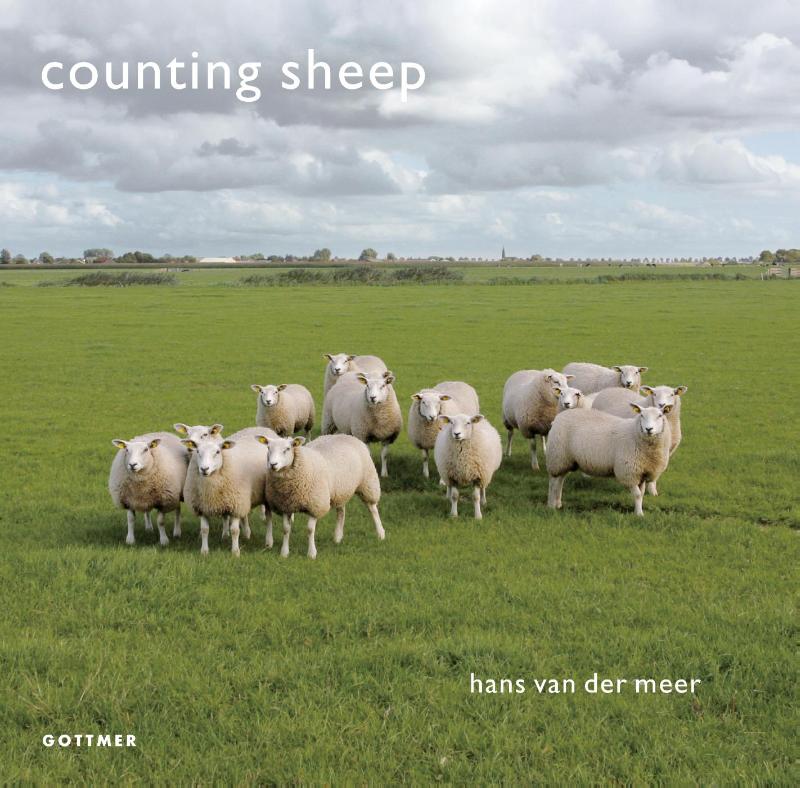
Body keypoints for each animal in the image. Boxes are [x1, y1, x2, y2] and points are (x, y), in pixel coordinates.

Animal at [181, 426, 277, 556]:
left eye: (217, 452)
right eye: (198, 452)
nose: (204, 469)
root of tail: (262, 427)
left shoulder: (236, 504)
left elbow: (235, 530)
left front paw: (235, 551)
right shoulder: (203, 506)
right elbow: (205, 529)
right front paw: (204, 551)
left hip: (265, 495)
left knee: (268, 518)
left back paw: (268, 542)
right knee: (245, 515)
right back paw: (247, 534)